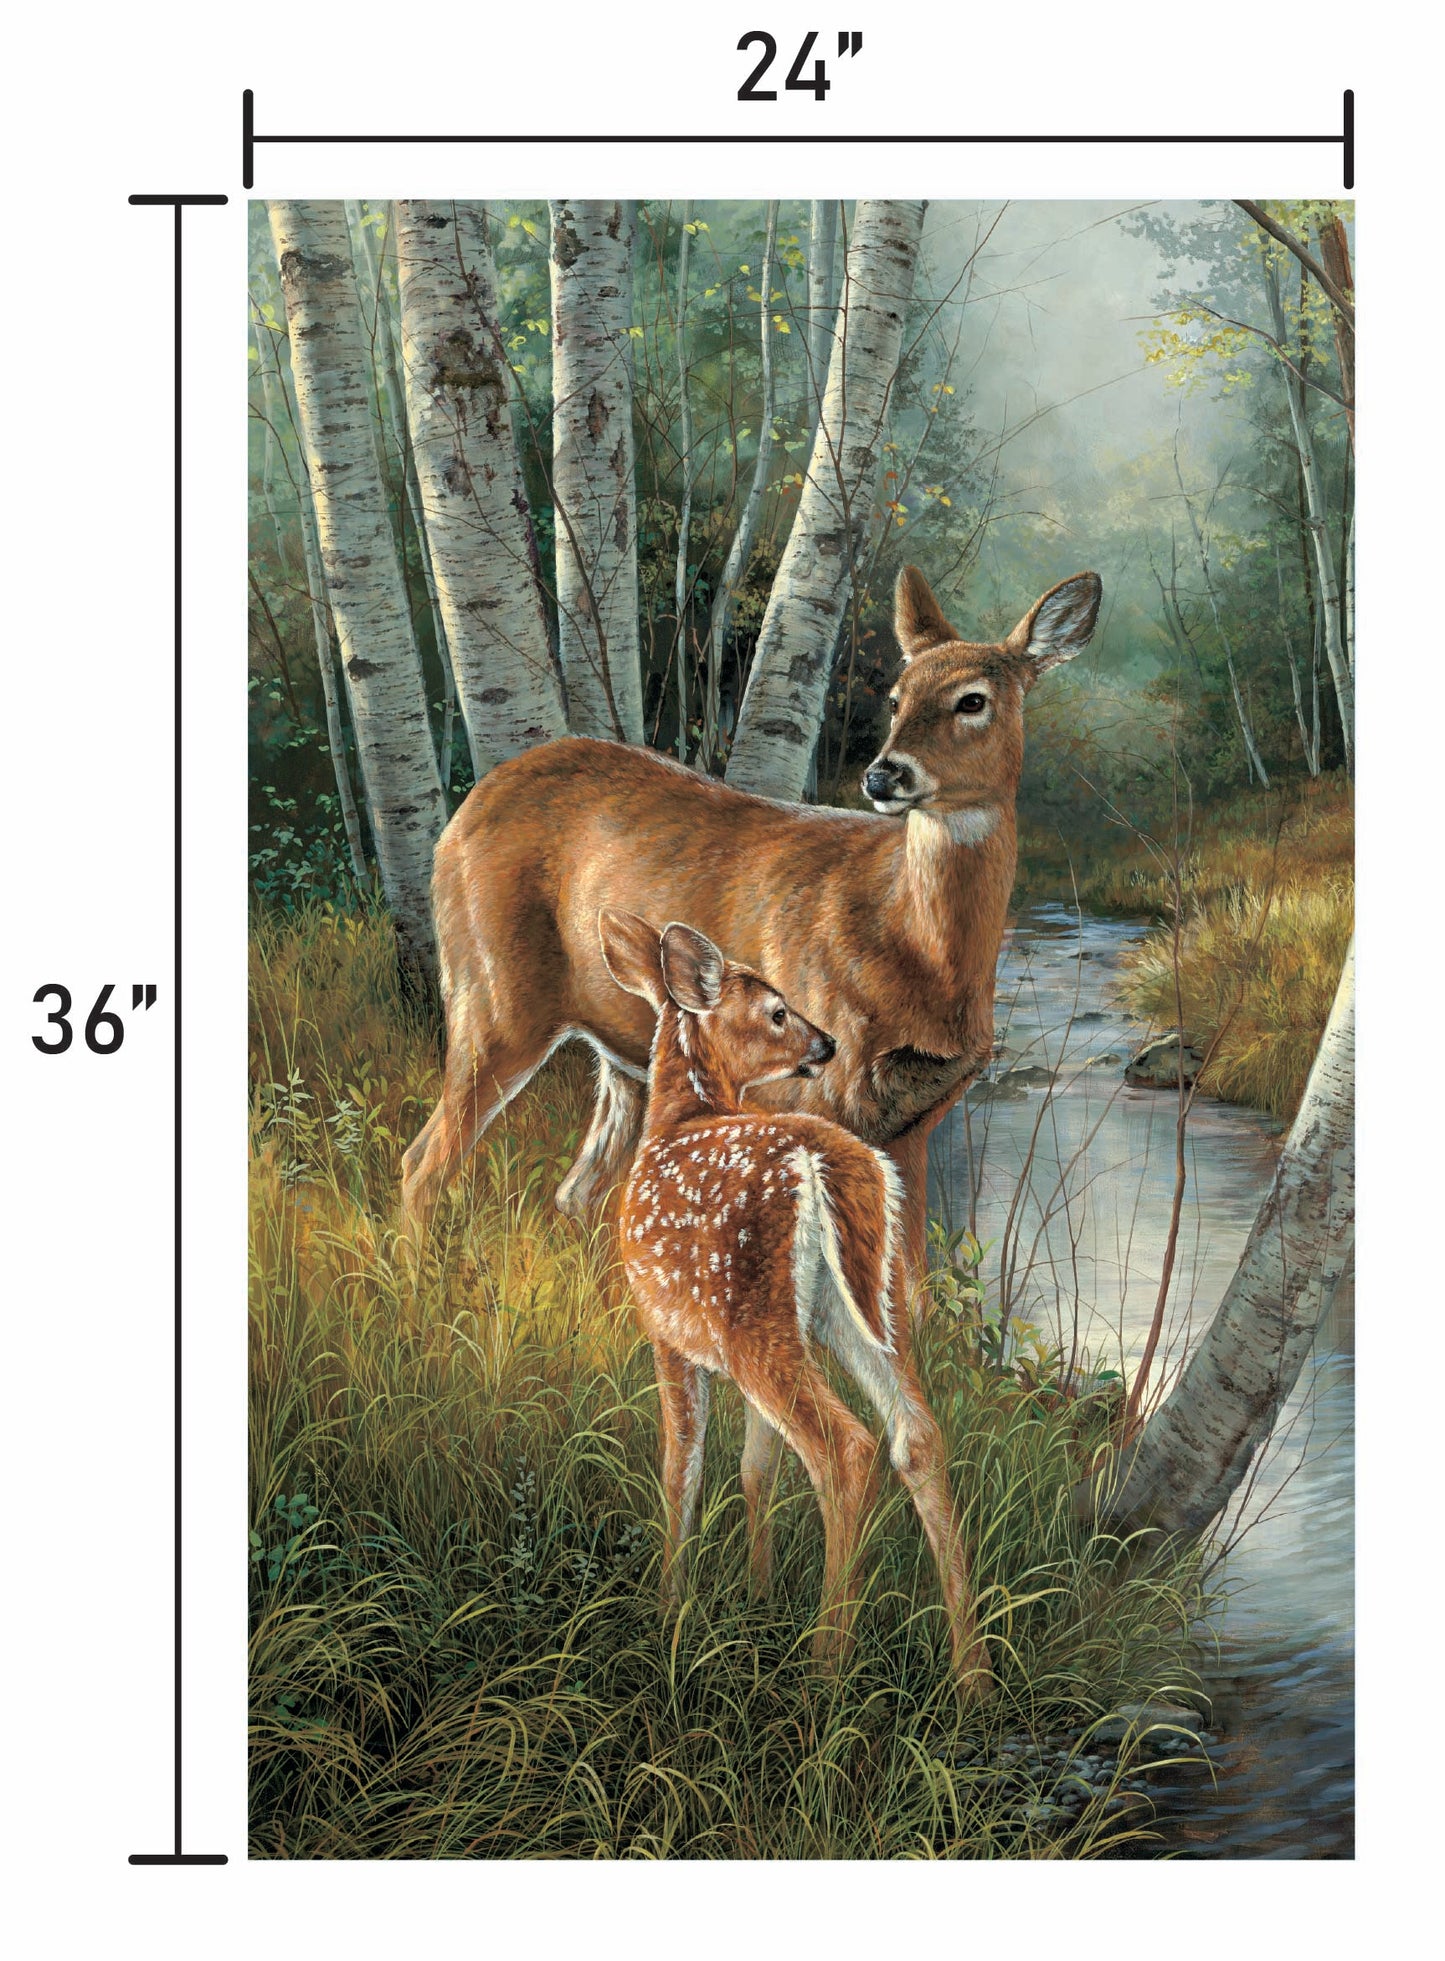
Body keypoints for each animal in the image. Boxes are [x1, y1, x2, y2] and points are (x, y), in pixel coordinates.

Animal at [401, 564, 1102, 1286]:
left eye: (973, 700)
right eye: (896, 698)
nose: (884, 774)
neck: (918, 950)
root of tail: (465, 811)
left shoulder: (914, 1120)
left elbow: (907, 1281)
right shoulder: (809, 1096)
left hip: (622, 1058)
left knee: (576, 1190)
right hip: (491, 997)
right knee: (423, 1158)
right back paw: (414, 1280)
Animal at [597, 907, 991, 1694]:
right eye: (777, 1010)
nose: (826, 1044)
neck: (679, 1116)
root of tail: (827, 1163)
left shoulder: (666, 1332)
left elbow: (681, 1466)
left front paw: (669, 1608)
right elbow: (756, 1469)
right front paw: (757, 1593)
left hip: (754, 1317)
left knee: (847, 1447)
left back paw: (824, 1668)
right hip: (864, 1308)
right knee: (917, 1434)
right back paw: (973, 1672)